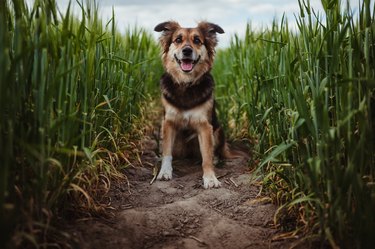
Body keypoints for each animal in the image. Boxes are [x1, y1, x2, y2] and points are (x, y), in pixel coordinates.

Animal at [155, 21, 245, 189]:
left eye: (197, 40)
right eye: (178, 39)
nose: (187, 50)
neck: (186, 84)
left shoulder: (205, 126)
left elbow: (207, 158)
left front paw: (210, 178)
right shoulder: (168, 123)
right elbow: (167, 153)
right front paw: (164, 171)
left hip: (218, 130)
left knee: (215, 152)